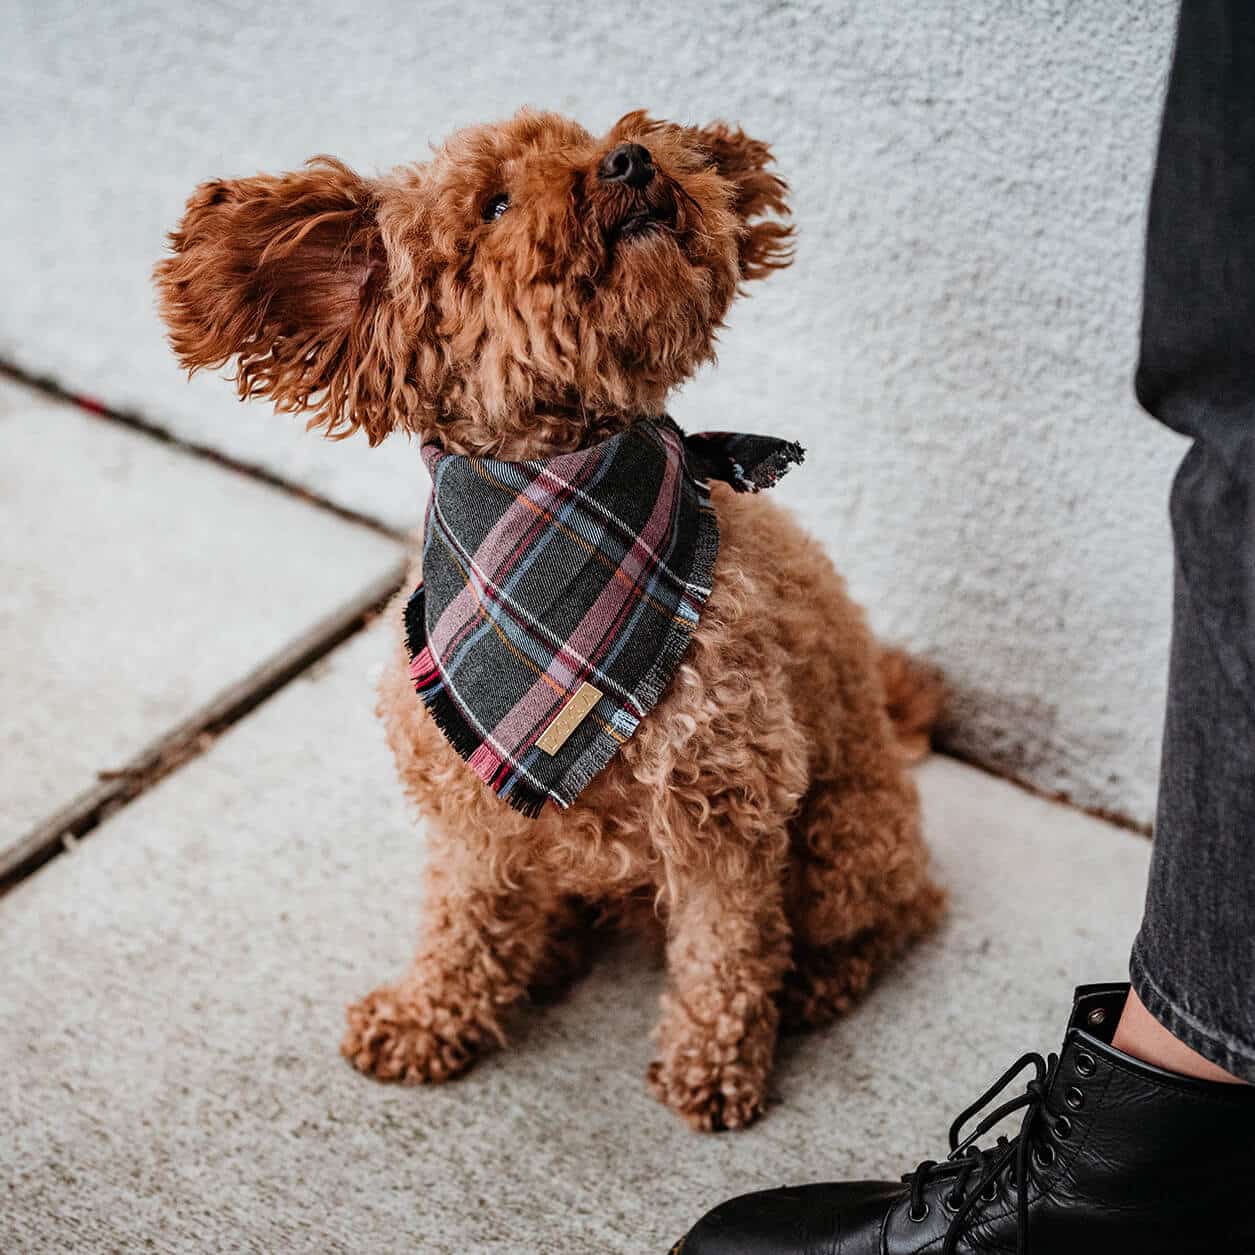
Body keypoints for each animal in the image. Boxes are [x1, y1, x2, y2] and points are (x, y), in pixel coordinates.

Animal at [156, 107, 943, 1134]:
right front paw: (429, 1013)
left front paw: (714, 1064)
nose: (632, 157)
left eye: (592, 138)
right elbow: (462, 916)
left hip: (848, 836)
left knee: (899, 911)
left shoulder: (728, 808)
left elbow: (726, 949)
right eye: (493, 203)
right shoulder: (470, 801)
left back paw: (814, 980)